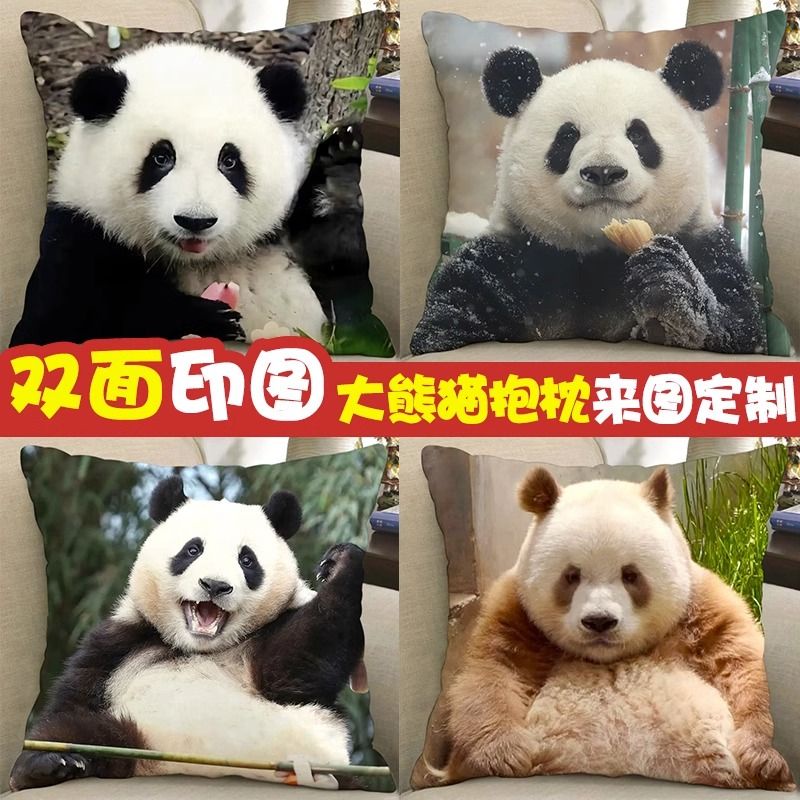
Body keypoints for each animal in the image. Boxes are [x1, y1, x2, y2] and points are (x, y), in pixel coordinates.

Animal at [9, 476, 366, 790]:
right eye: (193, 550)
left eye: (246, 559)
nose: (215, 585)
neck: (198, 647)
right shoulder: (121, 642)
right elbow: (73, 697)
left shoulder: (274, 638)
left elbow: (296, 663)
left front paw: (340, 563)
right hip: (134, 732)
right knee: (78, 731)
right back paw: (48, 765)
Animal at [10, 41, 361, 346]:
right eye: (161, 157)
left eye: (229, 160)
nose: (196, 221)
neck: (201, 261)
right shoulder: (80, 239)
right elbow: (58, 327)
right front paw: (205, 317)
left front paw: (338, 175)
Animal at [410, 42, 767, 356]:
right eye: (567, 136)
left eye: (638, 134)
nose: (604, 171)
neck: (599, 258)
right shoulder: (507, 260)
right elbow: (447, 320)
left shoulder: (706, 248)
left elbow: (737, 328)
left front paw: (666, 279)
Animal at [419, 468, 794, 792]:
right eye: (571, 576)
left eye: (630, 575)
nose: (599, 621)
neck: (607, 658)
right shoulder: (517, 616)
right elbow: (493, 672)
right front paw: (504, 756)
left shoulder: (701, 613)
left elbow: (742, 666)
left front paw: (763, 759)